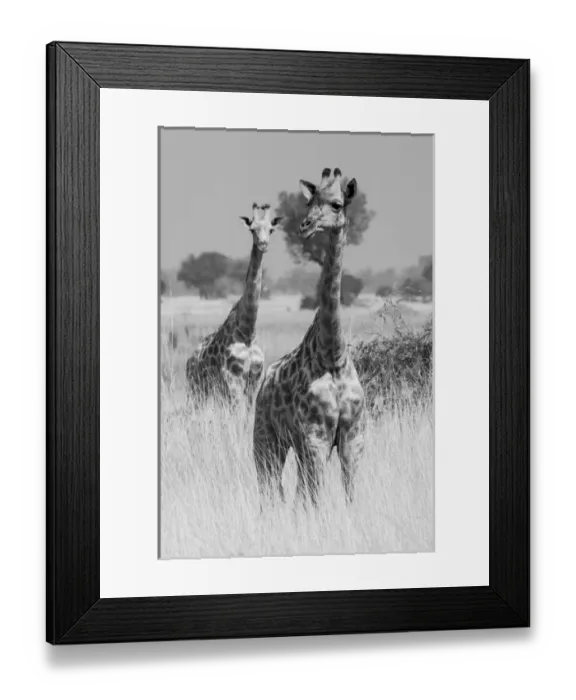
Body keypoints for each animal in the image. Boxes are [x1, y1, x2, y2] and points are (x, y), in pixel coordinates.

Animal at [186, 204, 283, 407]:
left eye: (271, 229)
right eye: (252, 229)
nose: (263, 244)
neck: (248, 332)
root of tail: (188, 361)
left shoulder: (255, 379)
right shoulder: (232, 379)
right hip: (197, 389)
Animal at [253, 168, 366, 506]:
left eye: (337, 204)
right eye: (309, 203)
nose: (305, 226)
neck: (333, 355)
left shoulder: (353, 436)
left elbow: (350, 496)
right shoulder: (315, 435)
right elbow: (316, 499)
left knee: (294, 490)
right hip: (267, 437)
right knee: (270, 487)